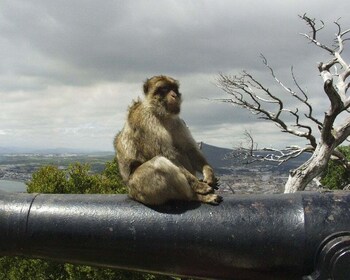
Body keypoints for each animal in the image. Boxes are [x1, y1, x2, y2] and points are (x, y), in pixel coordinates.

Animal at [115, 75, 223, 205]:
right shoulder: (146, 120)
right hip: (140, 189)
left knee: (181, 150)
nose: (174, 95)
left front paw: (209, 174)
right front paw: (199, 185)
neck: (161, 114)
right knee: (159, 163)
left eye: (174, 88)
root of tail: (130, 193)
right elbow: (167, 155)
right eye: (165, 88)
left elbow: (190, 149)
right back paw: (195, 196)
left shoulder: (177, 121)